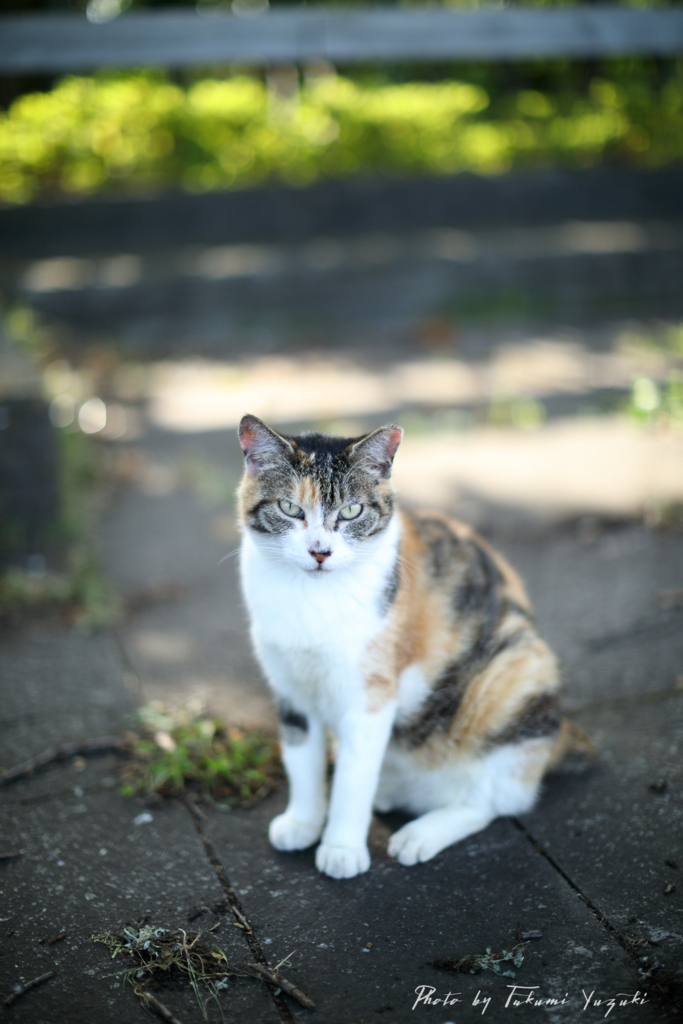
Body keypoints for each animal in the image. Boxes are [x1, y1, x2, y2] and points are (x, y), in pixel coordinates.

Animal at [237, 415, 585, 880]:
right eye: (290, 508)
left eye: (351, 511)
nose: (320, 552)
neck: (310, 600)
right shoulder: (290, 686)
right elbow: (301, 761)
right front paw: (303, 822)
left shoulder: (371, 696)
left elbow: (353, 779)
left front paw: (342, 848)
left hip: (520, 673)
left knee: (490, 801)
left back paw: (419, 835)